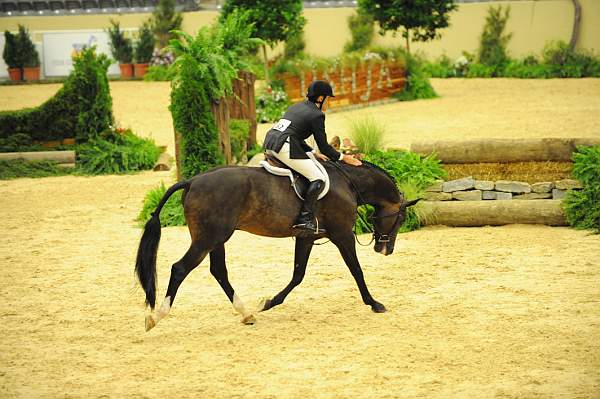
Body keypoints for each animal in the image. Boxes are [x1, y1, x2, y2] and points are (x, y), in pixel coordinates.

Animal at [136, 159, 420, 332]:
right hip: (208, 238)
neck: (348, 183)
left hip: (216, 239)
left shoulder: (306, 237)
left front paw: (270, 301)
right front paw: (374, 303)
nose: (386, 249)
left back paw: (247, 314)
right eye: (401, 218)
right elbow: (356, 271)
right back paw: (155, 316)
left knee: (219, 272)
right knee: (180, 268)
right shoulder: (342, 235)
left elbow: (298, 275)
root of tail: (192, 181)